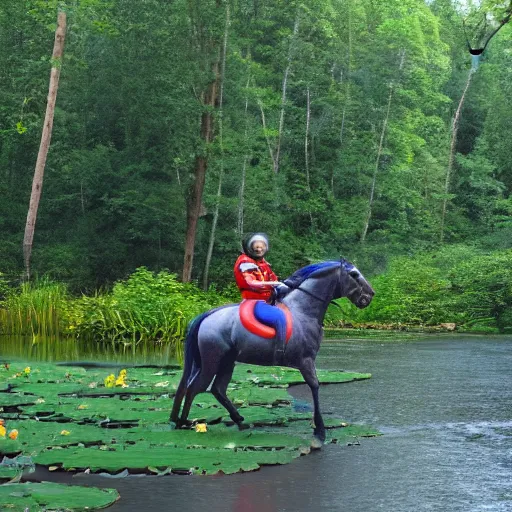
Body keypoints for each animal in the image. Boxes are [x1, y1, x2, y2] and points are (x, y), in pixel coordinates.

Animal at [170, 258, 374, 446]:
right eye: (354, 274)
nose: (370, 295)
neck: (302, 310)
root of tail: (206, 317)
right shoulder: (306, 361)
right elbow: (315, 387)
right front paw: (320, 431)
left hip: (226, 362)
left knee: (217, 389)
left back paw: (238, 419)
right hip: (211, 362)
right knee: (195, 388)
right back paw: (184, 423)